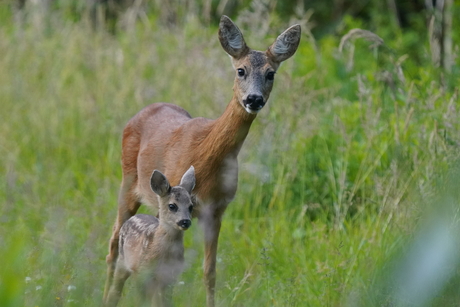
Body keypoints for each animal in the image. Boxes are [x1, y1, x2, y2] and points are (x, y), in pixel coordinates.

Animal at [104, 167, 196, 306]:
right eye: (172, 206)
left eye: (191, 206)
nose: (185, 221)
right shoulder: (142, 272)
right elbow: (143, 301)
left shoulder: (170, 276)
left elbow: (164, 302)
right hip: (123, 261)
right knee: (116, 290)